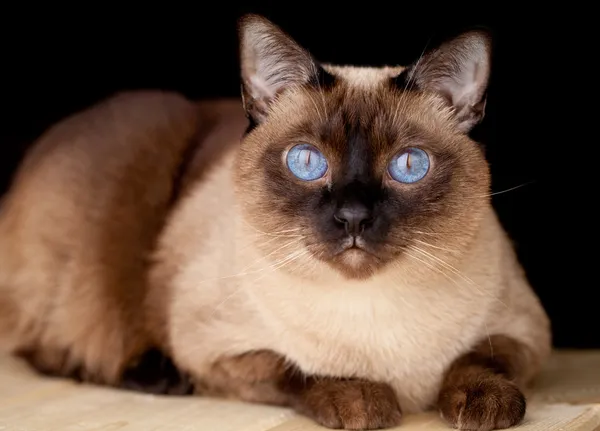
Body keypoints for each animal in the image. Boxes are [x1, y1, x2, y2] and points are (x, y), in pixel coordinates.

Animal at [0, 13, 552, 431]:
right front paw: (362, 400)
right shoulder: (215, 350)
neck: (372, 311)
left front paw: (485, 404)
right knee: (52, 345)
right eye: (305, 162)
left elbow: (477, 357)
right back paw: (160, 378)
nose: (353, 217)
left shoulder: (526, 333)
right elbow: (294, 368)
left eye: (409, 166)